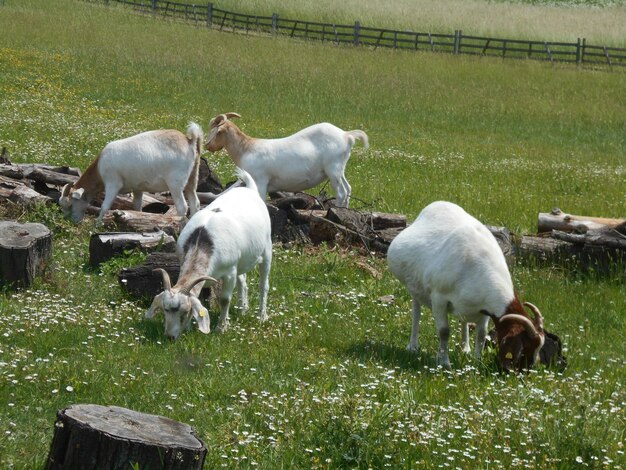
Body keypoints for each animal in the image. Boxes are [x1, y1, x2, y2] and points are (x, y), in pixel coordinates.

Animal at [57, 121, 201, 224]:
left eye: (70, 205)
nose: (69, 222)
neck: (100, 166)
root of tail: (189, 141)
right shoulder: (138, 188)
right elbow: (137, 206)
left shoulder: (113, 183)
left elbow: (105, 206)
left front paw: (96, 225)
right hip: (192, 179)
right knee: (195, 204)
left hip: (175, 183)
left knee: (182, 207)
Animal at [147, 169, 274, 342]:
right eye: (165, 309)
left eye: (184, 311)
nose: (170, 336)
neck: (202, 238)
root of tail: (250, 189)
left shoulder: (229, 271)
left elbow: (224, 299)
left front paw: (221, 328)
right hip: (241, 261)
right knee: (242, 281)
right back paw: (242, 309)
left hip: (267, 249)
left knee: (263, 285)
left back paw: (262, 316)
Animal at [202, 113, 368, 207]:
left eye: (215, 131)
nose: (207, 145)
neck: (246, 148)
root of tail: (346, 135)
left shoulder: (261, 181)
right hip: (339, 169)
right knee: (348, 189)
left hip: (333, 169)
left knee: (341, 193)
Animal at [388, 201, 544, 370]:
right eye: (523, 350)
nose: (527, 371)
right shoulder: (439, 298)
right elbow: (444, 331)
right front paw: (444, 363)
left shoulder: (485, 308)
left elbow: (482, 334)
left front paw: (477, 361)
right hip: (415, 287)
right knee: (416, 312)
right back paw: (413, 346)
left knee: (464, 320)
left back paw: (465, 348)